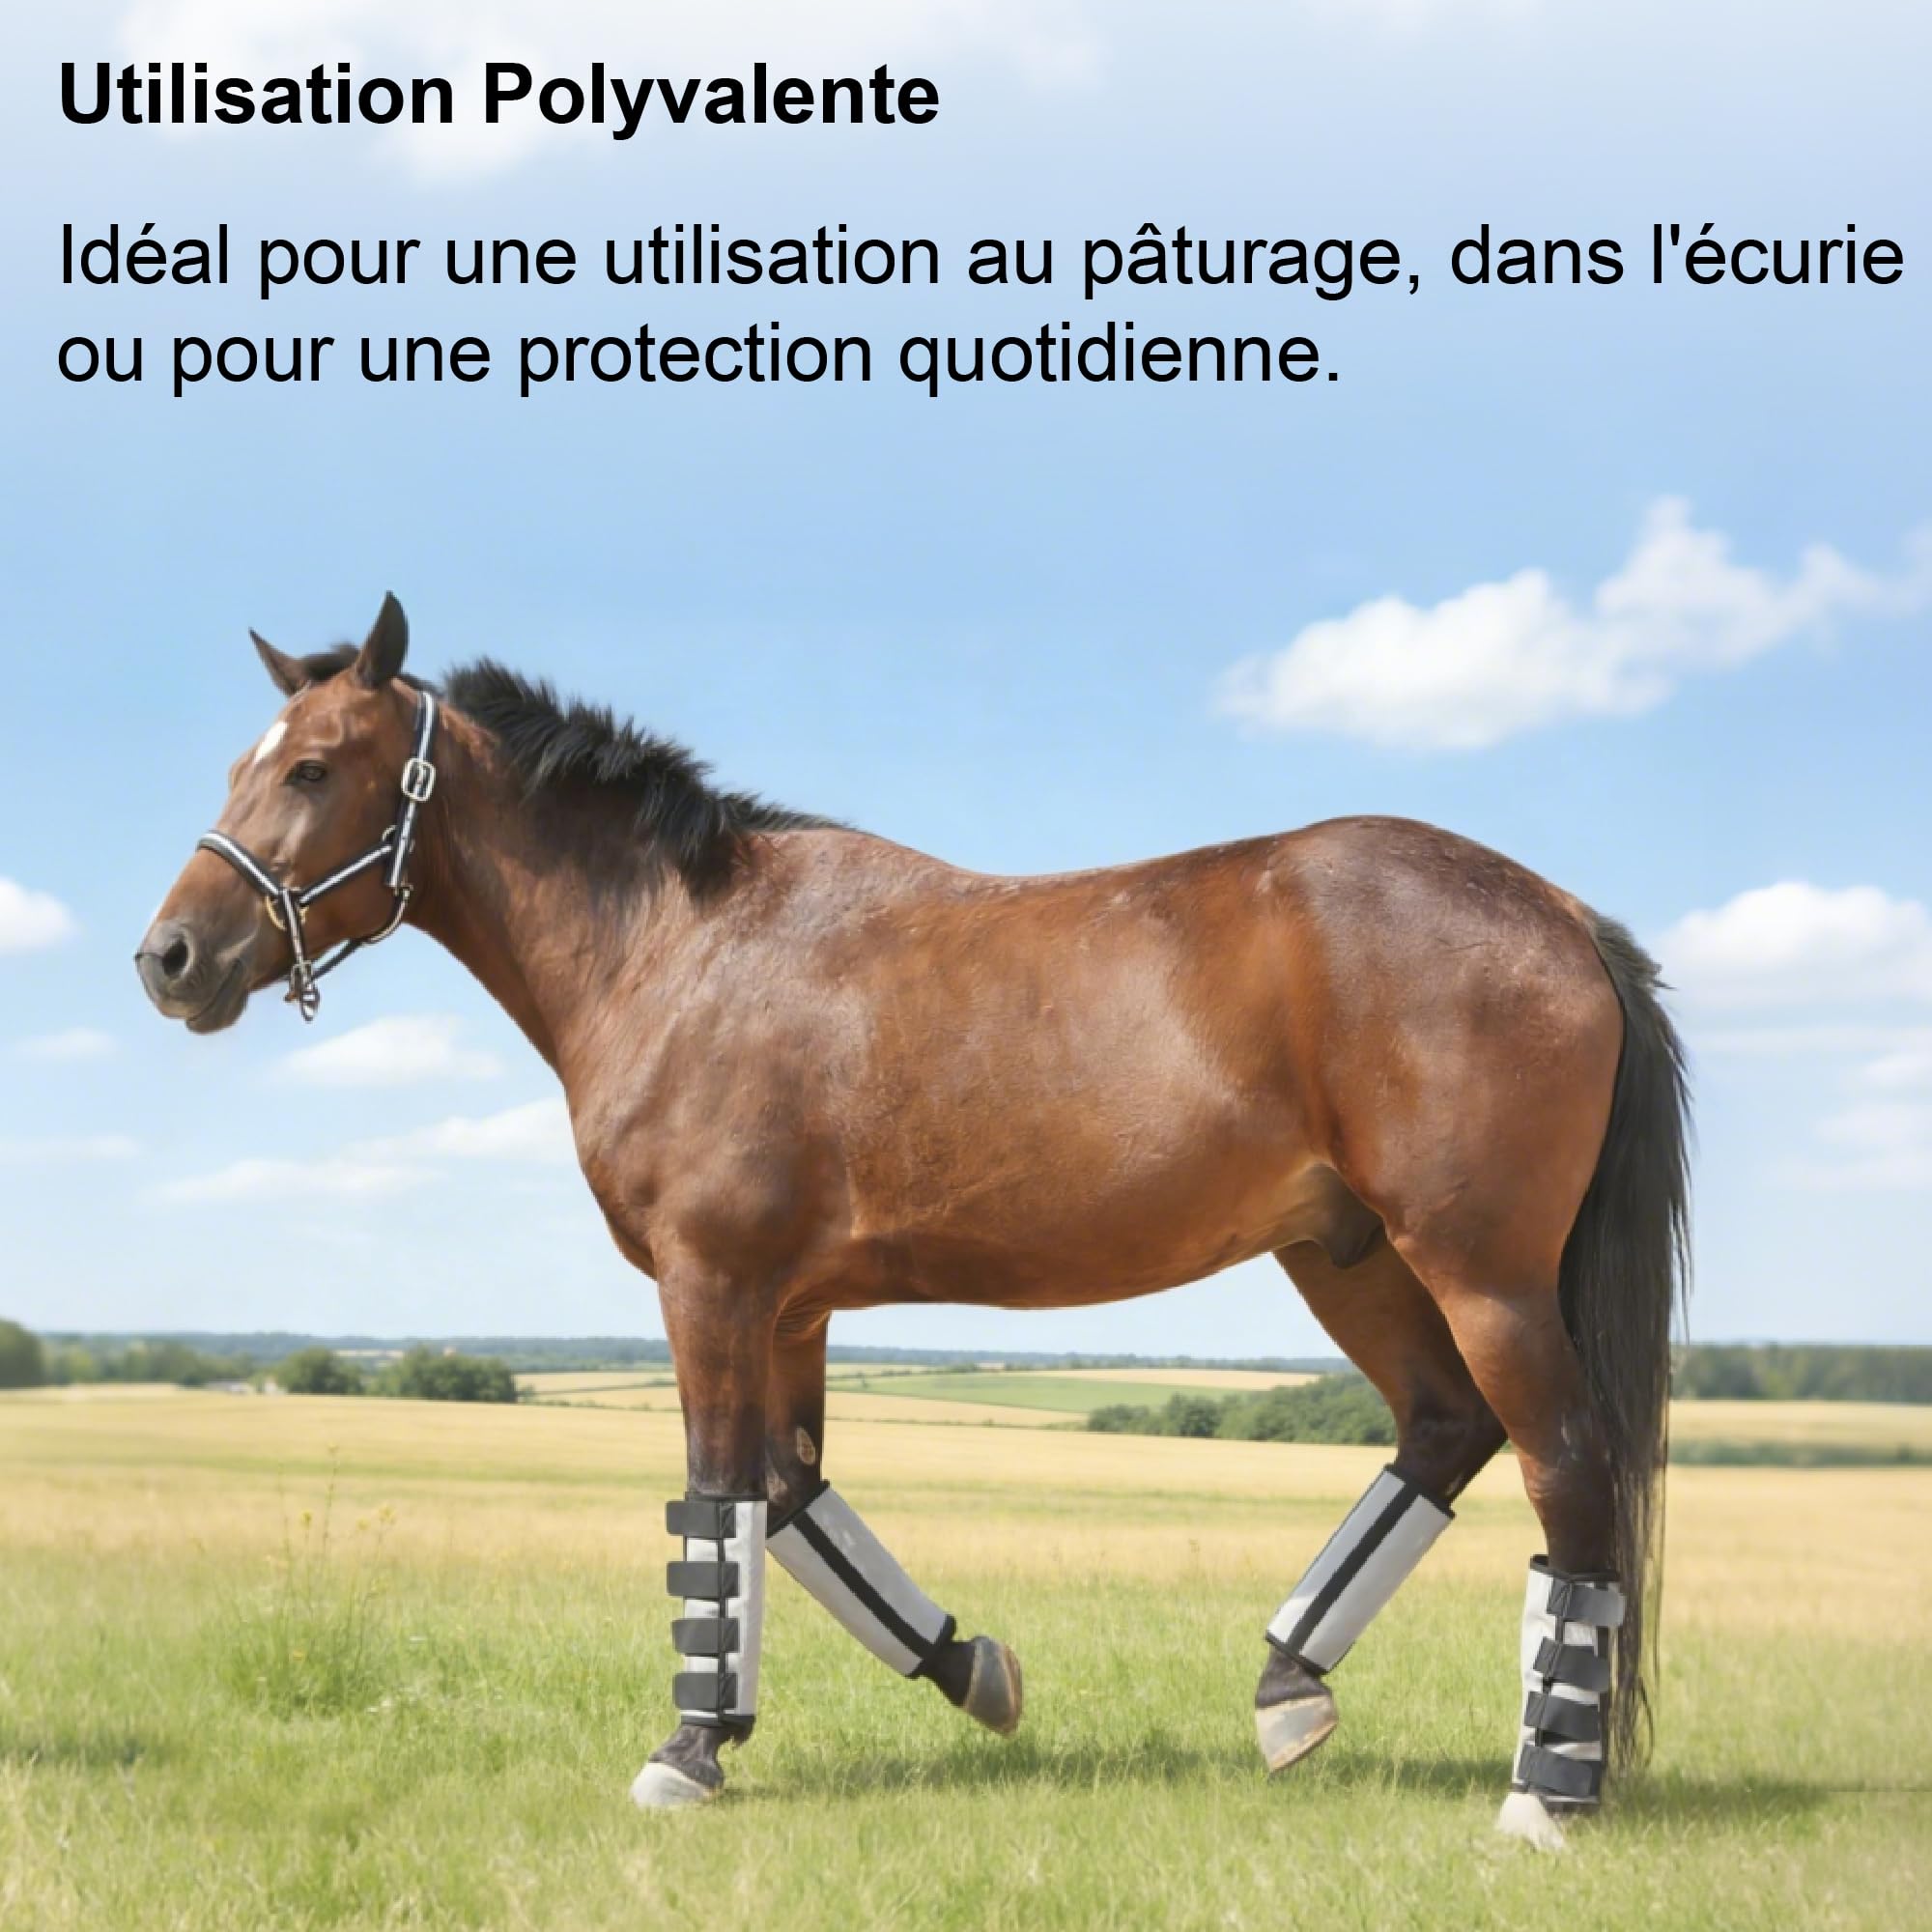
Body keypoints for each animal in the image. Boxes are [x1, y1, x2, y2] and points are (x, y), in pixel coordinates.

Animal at [136, 597, 1689, 1849]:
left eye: (312, 768)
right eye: (241, 767)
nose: (170, 959)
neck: (679, 948)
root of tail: (1561, 912)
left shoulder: (708, 1286)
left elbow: (710, 1507)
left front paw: (689, 1753)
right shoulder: (793, 1306)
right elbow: (787, 1503)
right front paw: (971, 1669)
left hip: (1481, 1274)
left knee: (1566, 1476)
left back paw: (1541, 1797)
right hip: (1347, 1256)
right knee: (1447, 1430)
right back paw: (1287, 1688)